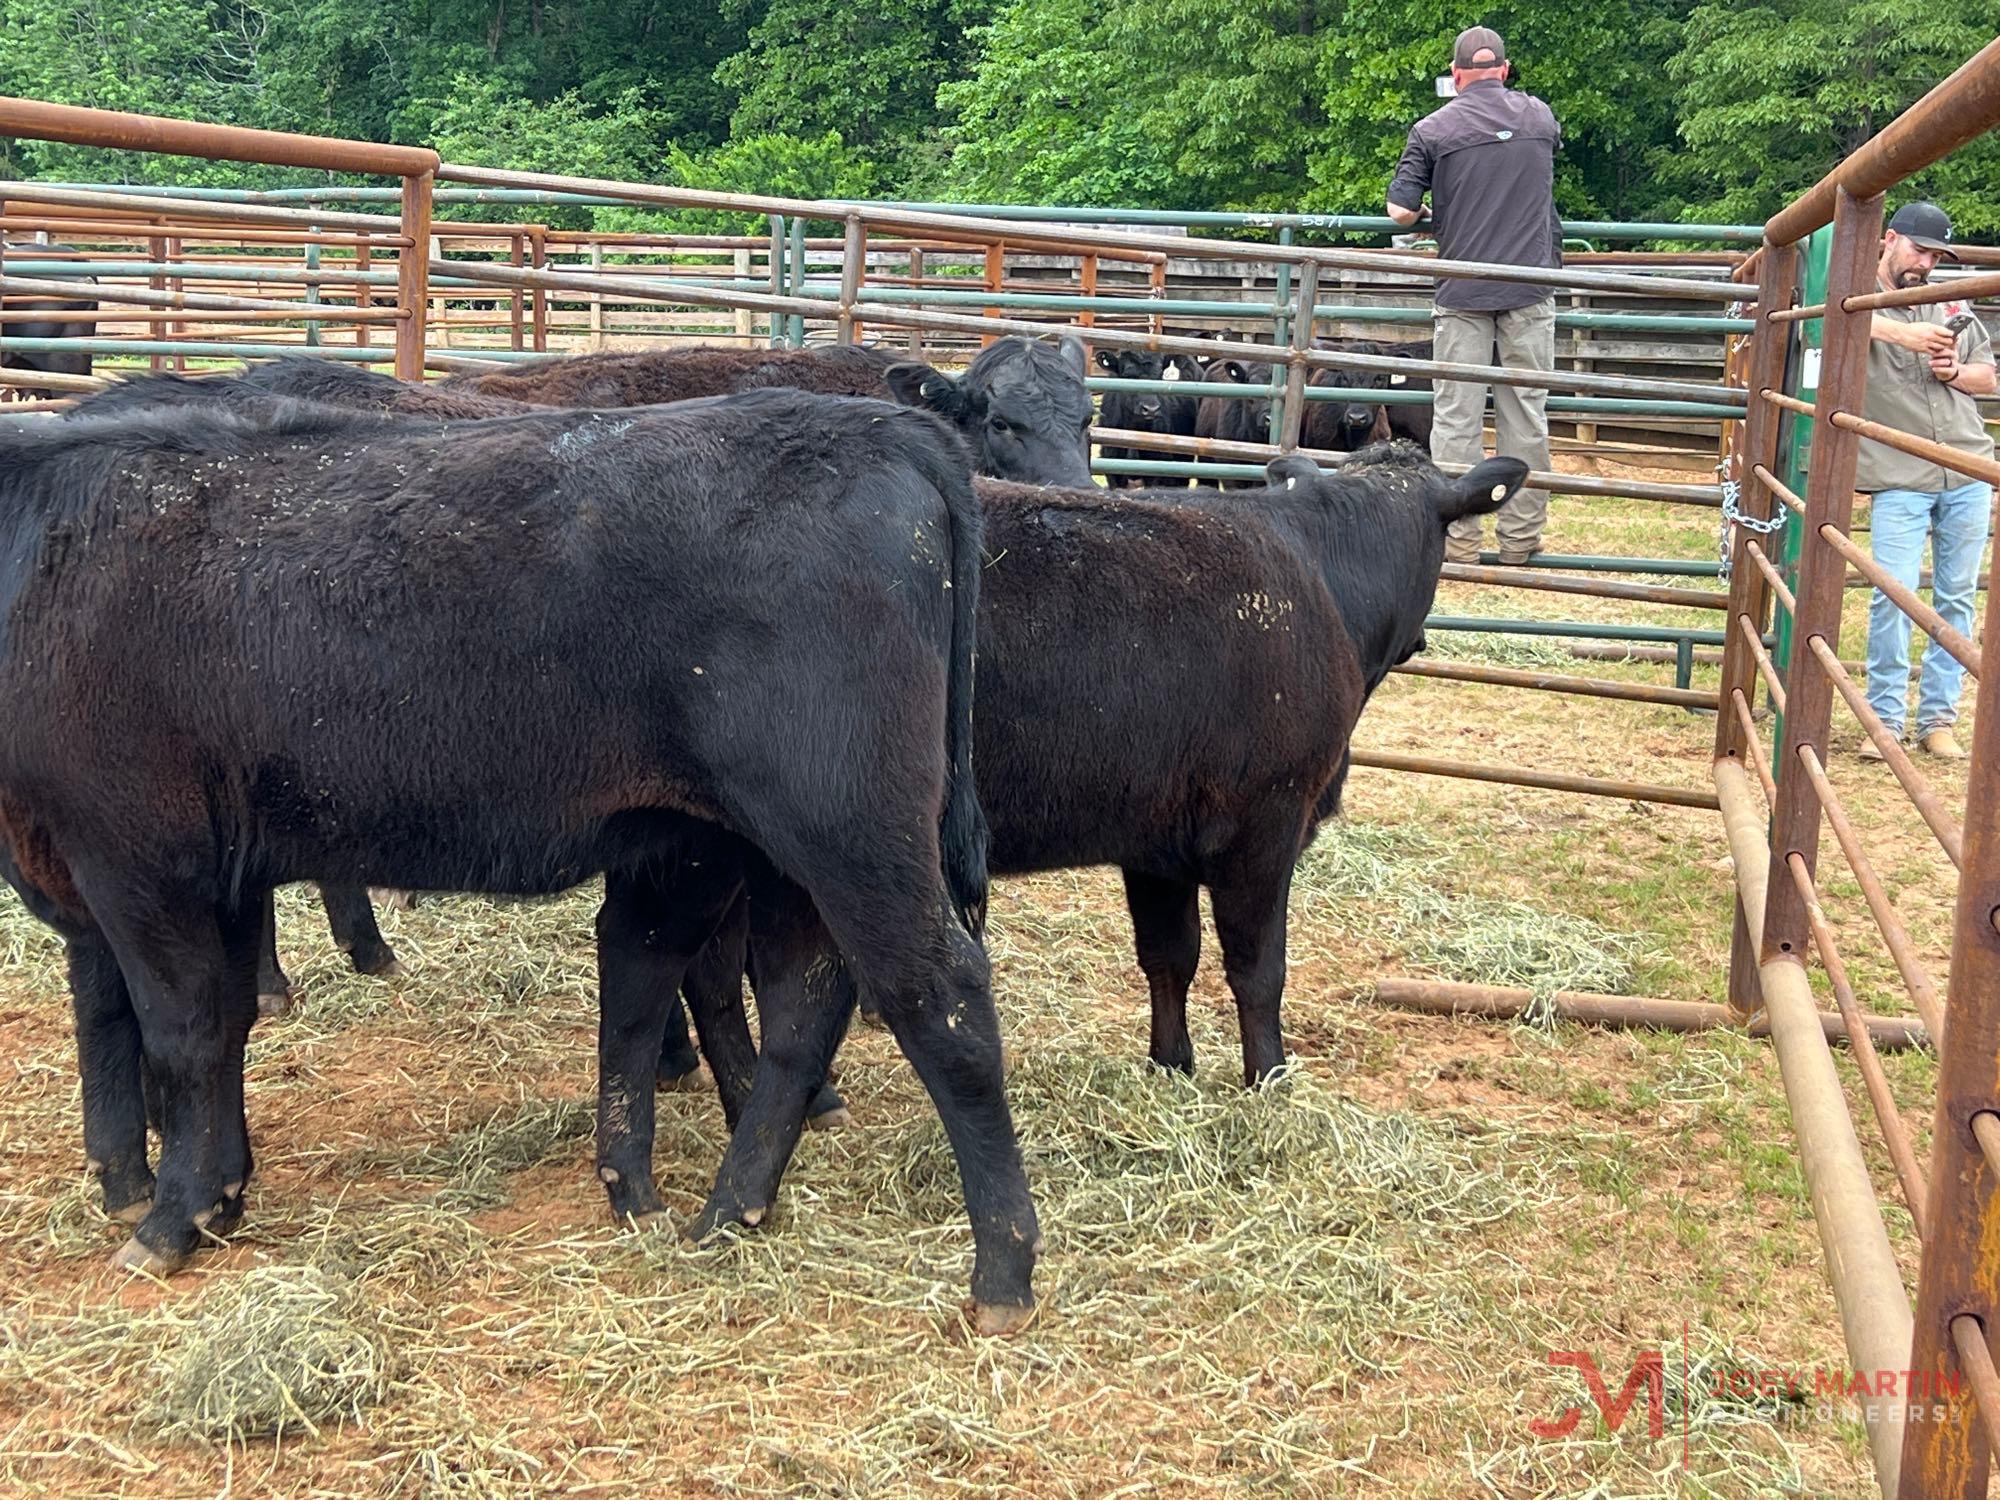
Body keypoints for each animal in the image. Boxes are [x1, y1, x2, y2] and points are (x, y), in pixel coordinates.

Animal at [0, 394, 1040, 1336]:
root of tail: (876, 424)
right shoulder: (206, 870)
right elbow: (214, 1031)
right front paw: (219, 1191)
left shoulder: (137, 856)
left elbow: (181, 1031)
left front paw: (174, 1217)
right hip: (776, 852)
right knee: (800, 1003)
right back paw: (726, 1212)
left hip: (852, 830)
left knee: (941, 1001)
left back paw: (1003, 1271)